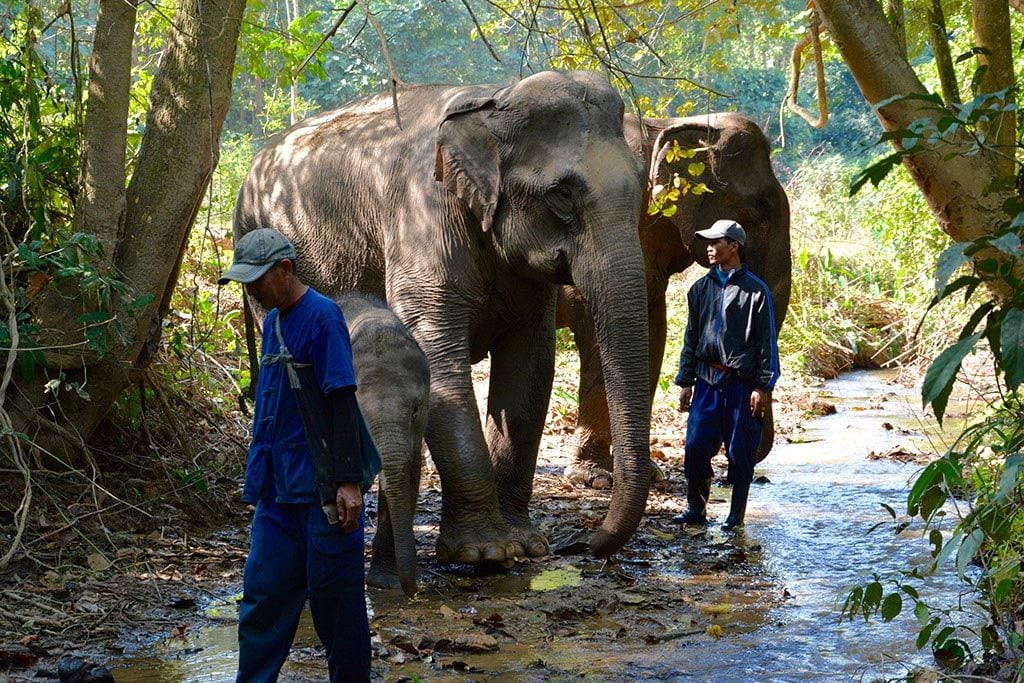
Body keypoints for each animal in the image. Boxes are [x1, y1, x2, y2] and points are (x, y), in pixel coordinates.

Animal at [233, 71, 651, 565]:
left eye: (642, 185)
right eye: (562, 194)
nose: (582, 544)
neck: (494, 102)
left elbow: (530, 368)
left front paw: (526, 544)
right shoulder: (422, 222)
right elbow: (438, 357)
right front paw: (485, 552)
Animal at [556, 112, 792, 488]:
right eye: (757, 212)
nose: (732, 472)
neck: (666, 126)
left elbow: (653, 333)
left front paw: (647, 474)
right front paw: (595, 478)